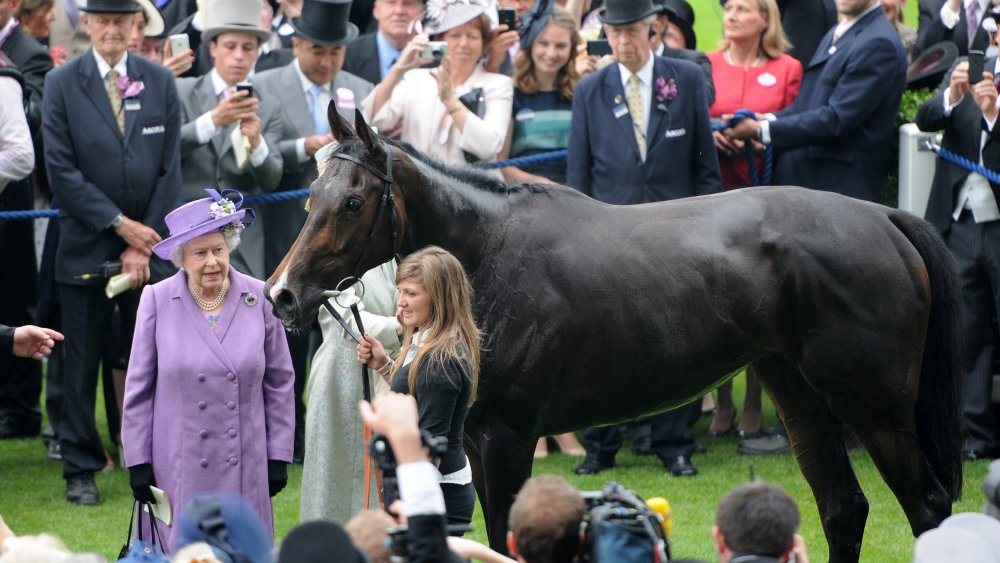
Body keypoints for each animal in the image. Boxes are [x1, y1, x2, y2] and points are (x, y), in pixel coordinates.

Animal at [266, 109, 960, 560]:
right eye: (312, 195)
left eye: (353, 202)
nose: (282, 294)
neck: (488, 253)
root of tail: (885, 217)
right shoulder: (474, 438)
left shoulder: (508, 437)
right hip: (801, 396)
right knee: (843, 509)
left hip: (876, 408)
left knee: (927, 508)